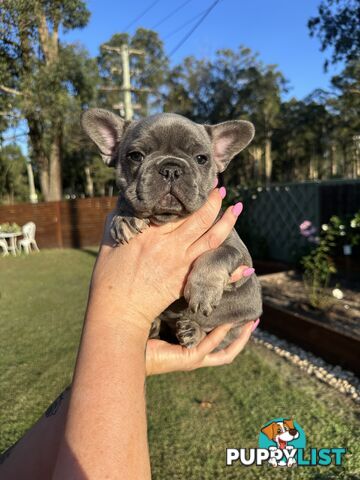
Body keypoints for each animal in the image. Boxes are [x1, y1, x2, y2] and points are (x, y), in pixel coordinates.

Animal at [81, 109, 262, 348]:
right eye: (135, 156)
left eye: (201, 159)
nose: (171, 169)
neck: (170, 219)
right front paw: (125, 218)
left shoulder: (240, 253)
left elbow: (219, 253)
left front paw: (203, 289)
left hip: (239, 324)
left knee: (217, 338)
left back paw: (193, 331)